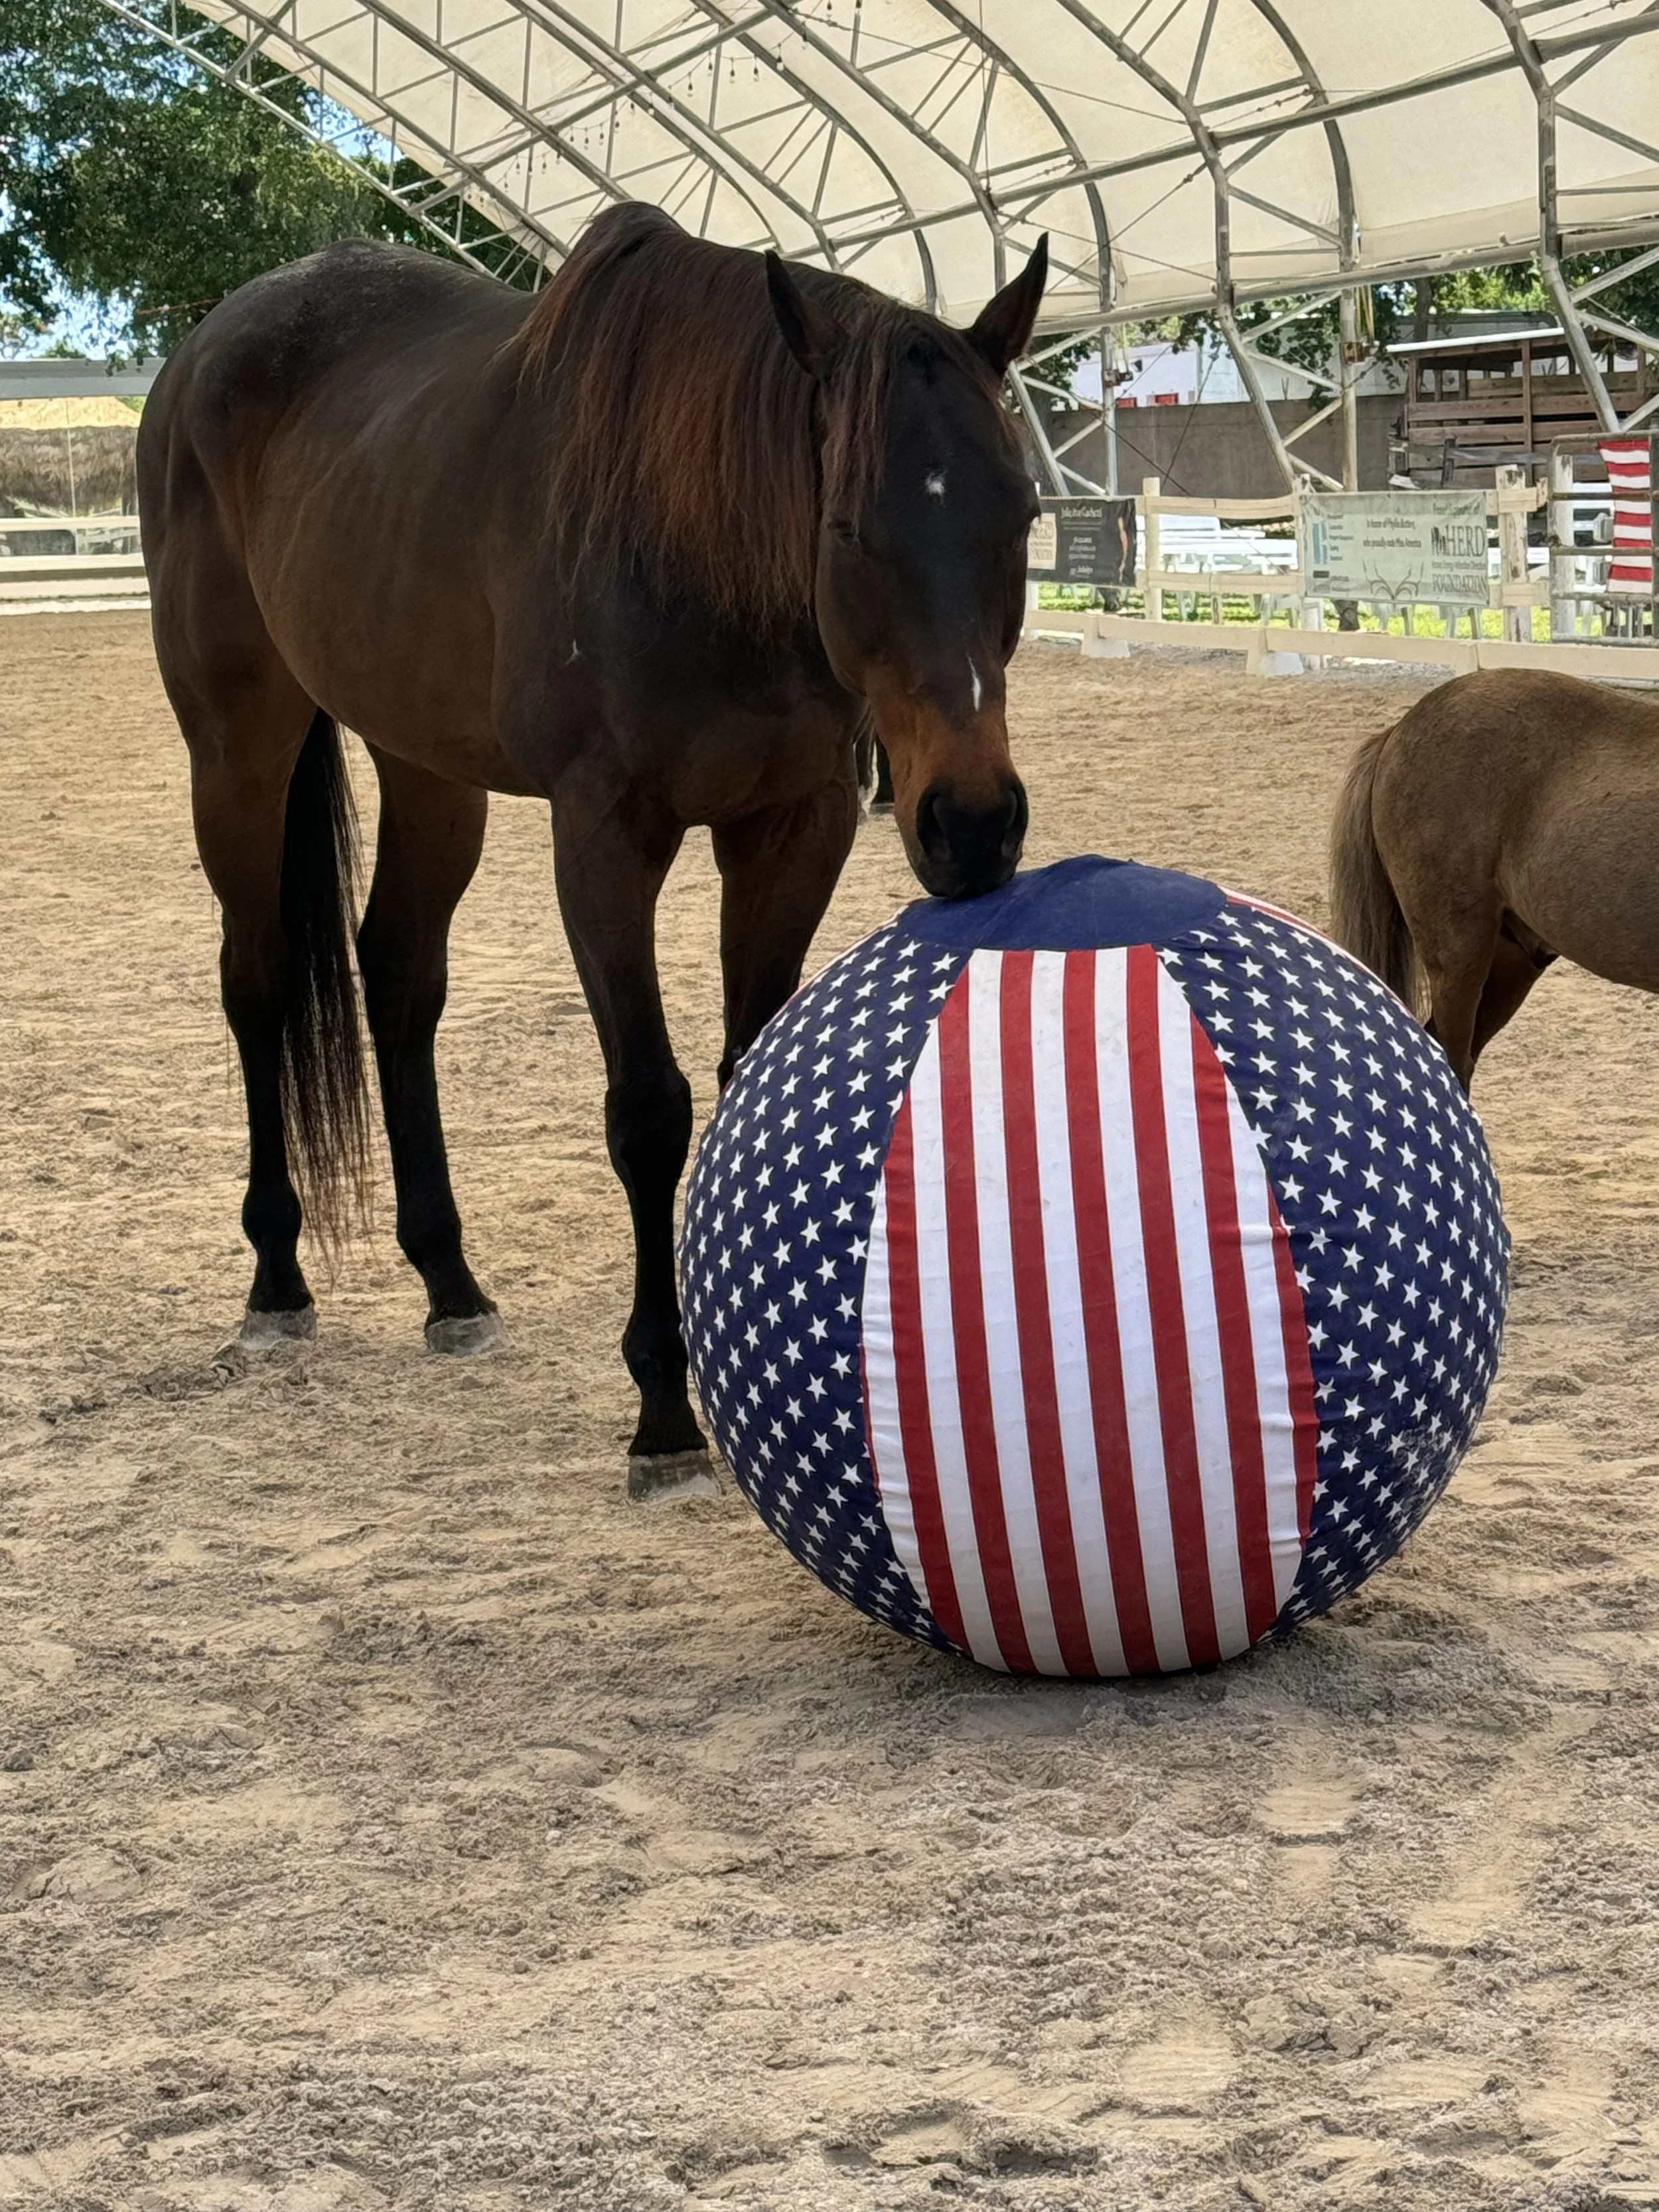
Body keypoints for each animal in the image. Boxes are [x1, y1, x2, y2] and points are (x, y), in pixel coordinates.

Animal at [137, 202, 1047, 1496]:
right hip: (238, 747)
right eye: (848, 524)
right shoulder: (605, 836)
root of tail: (207, 348)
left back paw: (450, 1283)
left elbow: (745, 1078)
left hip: (428, 765)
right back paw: (277, 1277)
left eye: (1019, 515)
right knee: (255, 982)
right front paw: (665, 1405)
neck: (697, 545)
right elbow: (649, 1110)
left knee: (399, 974)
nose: (973, 823)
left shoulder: (796, 824)